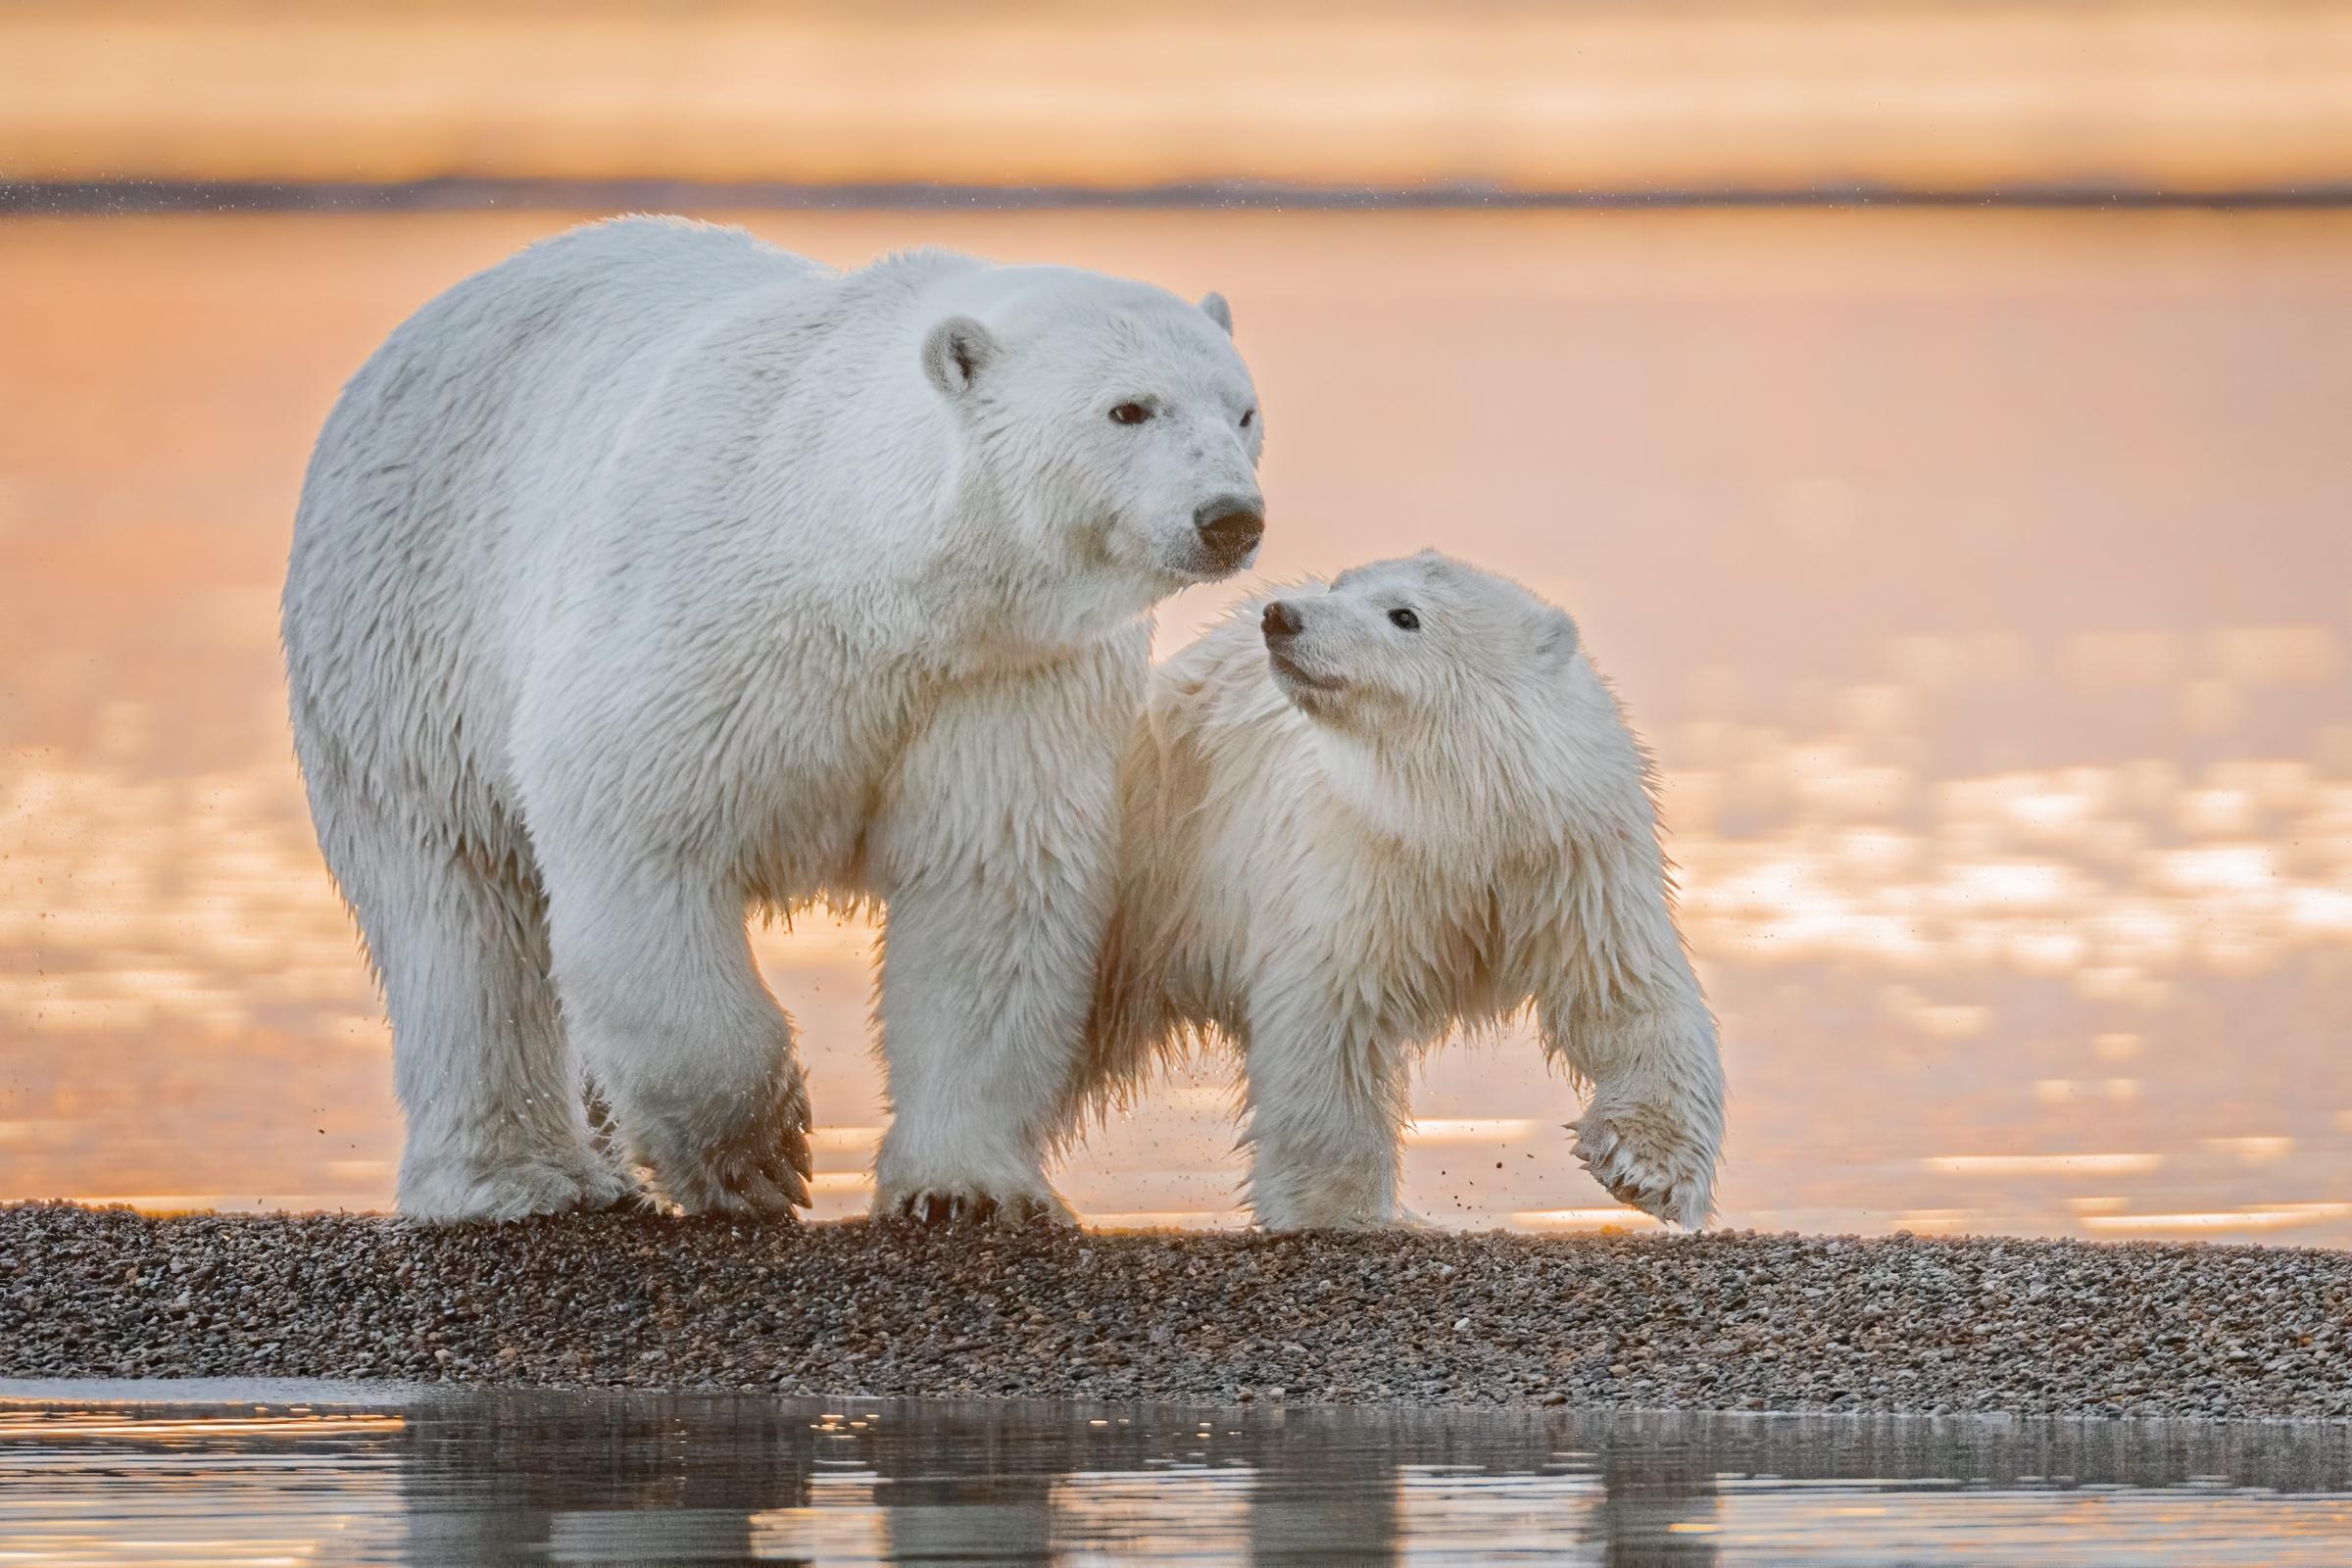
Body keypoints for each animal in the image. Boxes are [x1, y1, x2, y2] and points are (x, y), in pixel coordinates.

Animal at [282, 217, 1260, 1222]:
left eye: (1241, 412)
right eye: (1129, 409)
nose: (1230, 518)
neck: (868, 569)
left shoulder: (1003, 677)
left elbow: (989, 887)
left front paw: (966, 1190)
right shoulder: (697, 624)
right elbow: (640, 836)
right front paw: (756, 1157)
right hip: (407, 634)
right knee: (457, 904)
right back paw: (520, 1177)